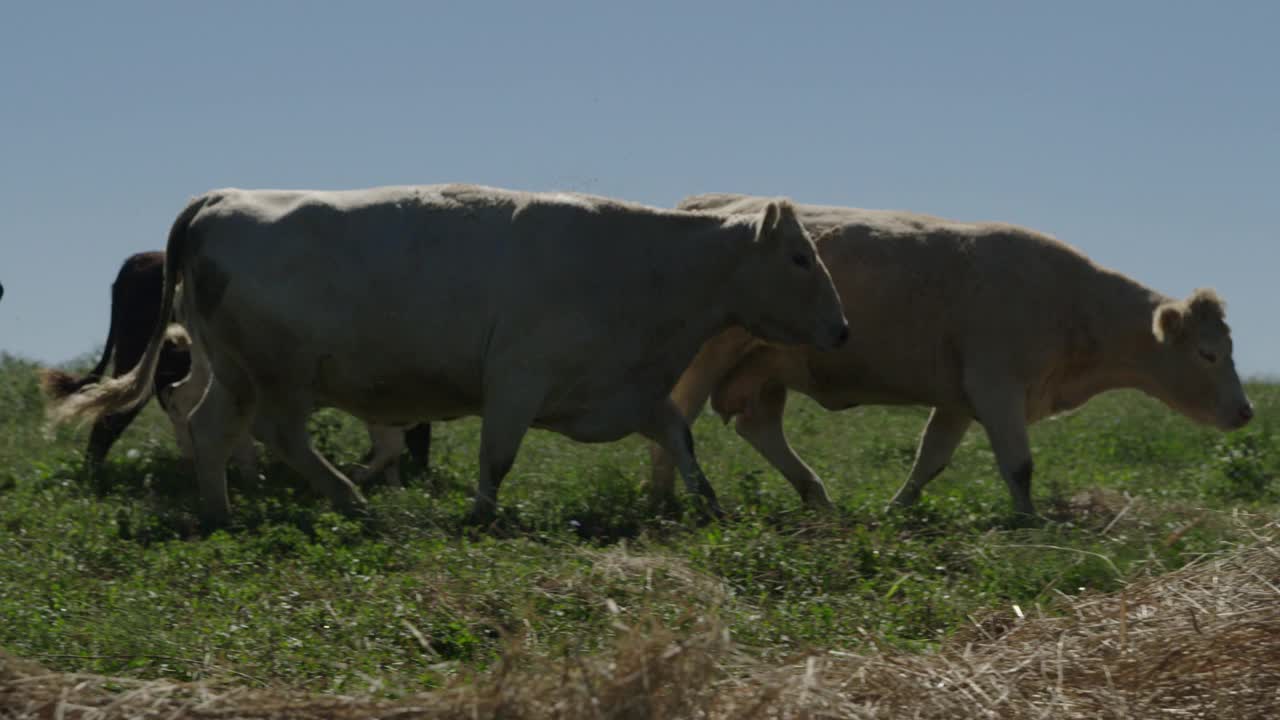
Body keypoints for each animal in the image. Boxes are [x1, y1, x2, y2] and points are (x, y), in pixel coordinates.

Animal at [49, 181, 849, 525]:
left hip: (237, 370)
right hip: (280, 372)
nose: (843, 328)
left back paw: (225, 512)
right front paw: (483, 517)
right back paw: (347, 499)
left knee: (212, 428)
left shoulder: (620, 389)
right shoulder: (518, 379)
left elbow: (680, 439)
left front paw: (709, 506)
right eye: (800, 257)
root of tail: (222, 198)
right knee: (275, 435)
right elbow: (497, 457)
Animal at [655, 193, 1254, 512]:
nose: (1246, 411)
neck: (1073, 305)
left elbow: (932, 458)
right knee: (675, 418)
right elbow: (1019, 465)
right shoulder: (997, 387)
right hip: (704, 357)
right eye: (1208, 354)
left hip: (764, 368)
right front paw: (1029, 523)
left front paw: (896, 510)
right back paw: (670, 502)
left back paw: (817, 498)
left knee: (757, 427)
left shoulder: (961, 399)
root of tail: (714, 203)